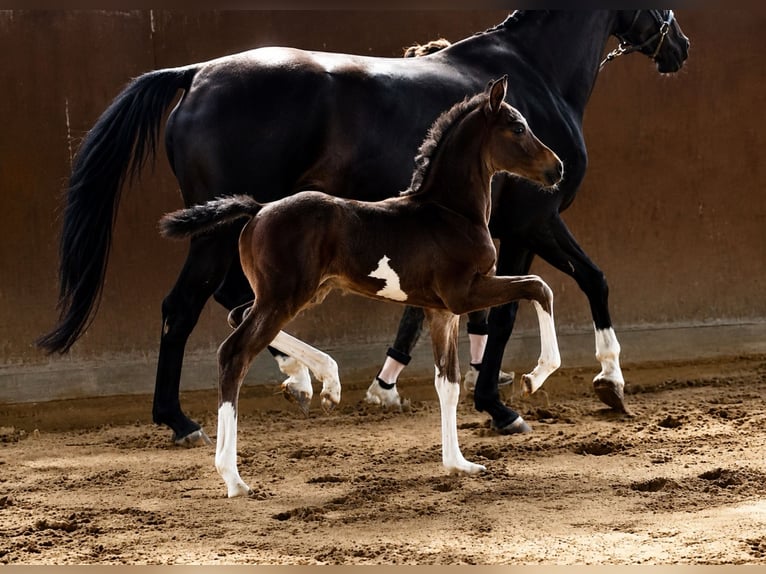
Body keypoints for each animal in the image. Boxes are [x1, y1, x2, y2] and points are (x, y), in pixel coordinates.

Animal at [37, 11, 689, 445]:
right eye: (520, 128)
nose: (679, 46)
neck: (534, 70)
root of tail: (195, 74)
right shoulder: (534, 222)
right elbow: (560, 292)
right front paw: (574, 387)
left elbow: (458, 311)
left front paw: (400, 384)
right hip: (221, 232)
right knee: (186, 307)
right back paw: (183, 419)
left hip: (238, 228)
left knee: (233, 301)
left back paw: (301, 377)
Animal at [159, 77, 564, 497]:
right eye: (517, 127)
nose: (557, 168)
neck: (450, 213)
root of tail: (258, 209)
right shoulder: (464, 293)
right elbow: (539, 287)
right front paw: (534, 377)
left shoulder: (441, 311)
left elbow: (448, 384)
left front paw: (458, 464)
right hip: (285, 296)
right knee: (233, 353)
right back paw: (234, 476)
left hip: (290, 293)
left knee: (239, 316)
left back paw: (324, 381)